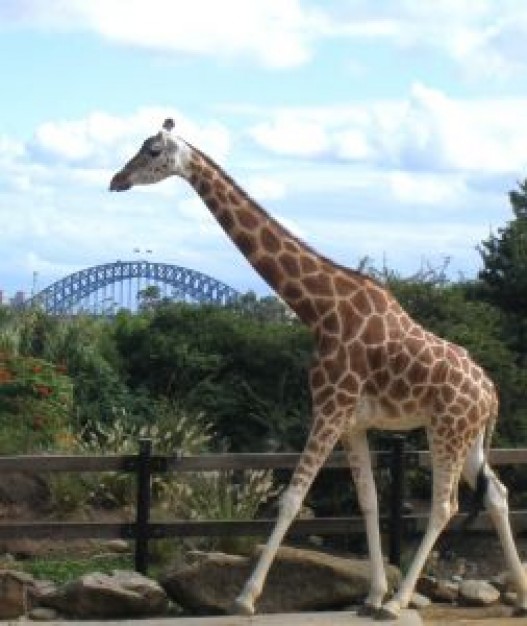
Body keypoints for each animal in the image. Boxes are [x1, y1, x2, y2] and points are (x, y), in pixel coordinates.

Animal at [108, 119, 527, 616]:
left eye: (153, 150)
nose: (117, 180)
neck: (319, 310)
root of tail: (491, 393)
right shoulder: (351, 422)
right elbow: (367, 502)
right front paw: (370, 594)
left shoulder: (329, 408)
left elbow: (291, 498)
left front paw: (245, 598)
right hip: (468, 436)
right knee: (497, 494)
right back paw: (519, 594)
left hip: (447, 429)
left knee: (444, 506)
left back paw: (400, 602)